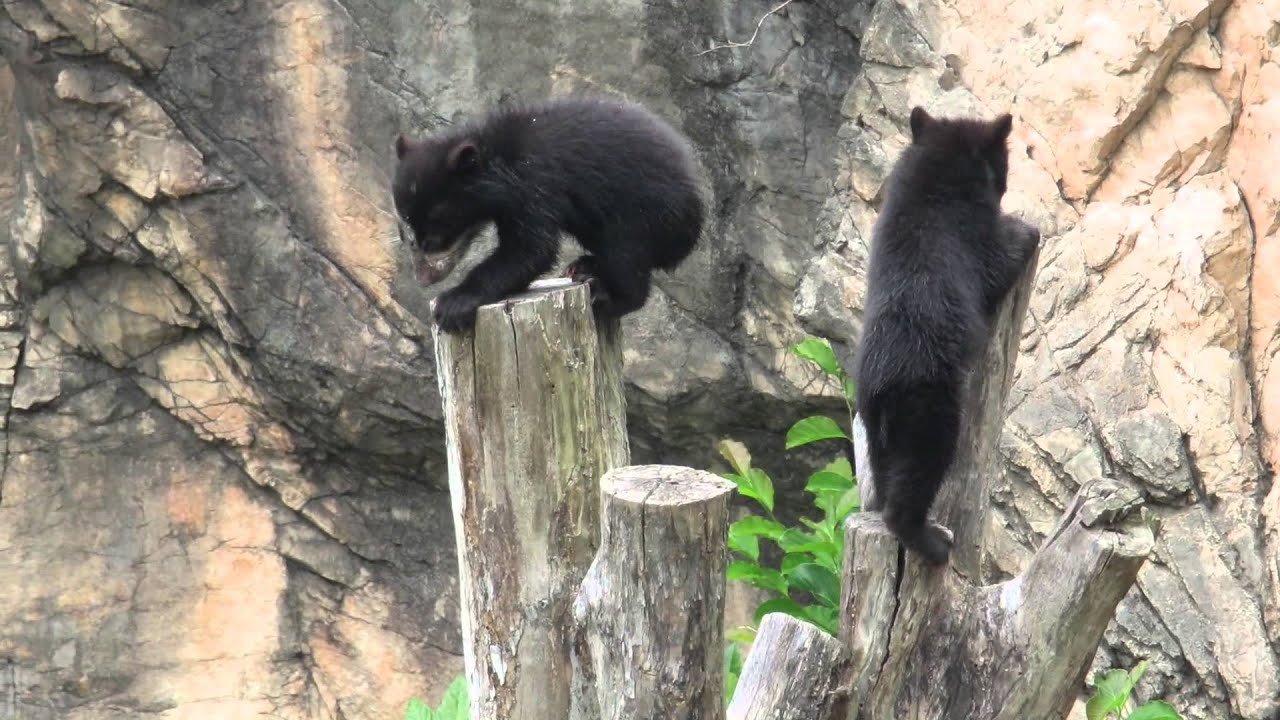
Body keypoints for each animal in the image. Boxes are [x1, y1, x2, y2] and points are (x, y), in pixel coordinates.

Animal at [391, 96, 705, 332]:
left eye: (434, 237)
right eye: (406, 232)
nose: (423, 278)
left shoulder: (534, 185)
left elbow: (529, 249)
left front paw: (452, 304)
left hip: (644, 213)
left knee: (626, 255)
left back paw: (606, 295)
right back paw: (585, 266)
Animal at [853, 107, 1040, 566]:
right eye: (1004, 163)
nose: (1006, 184)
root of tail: (881, 386)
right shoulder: (970, 238)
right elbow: (999, 258)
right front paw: (1027, 230)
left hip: (876, 426)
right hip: (927, 405)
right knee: (923, 464)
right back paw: (930, 539)